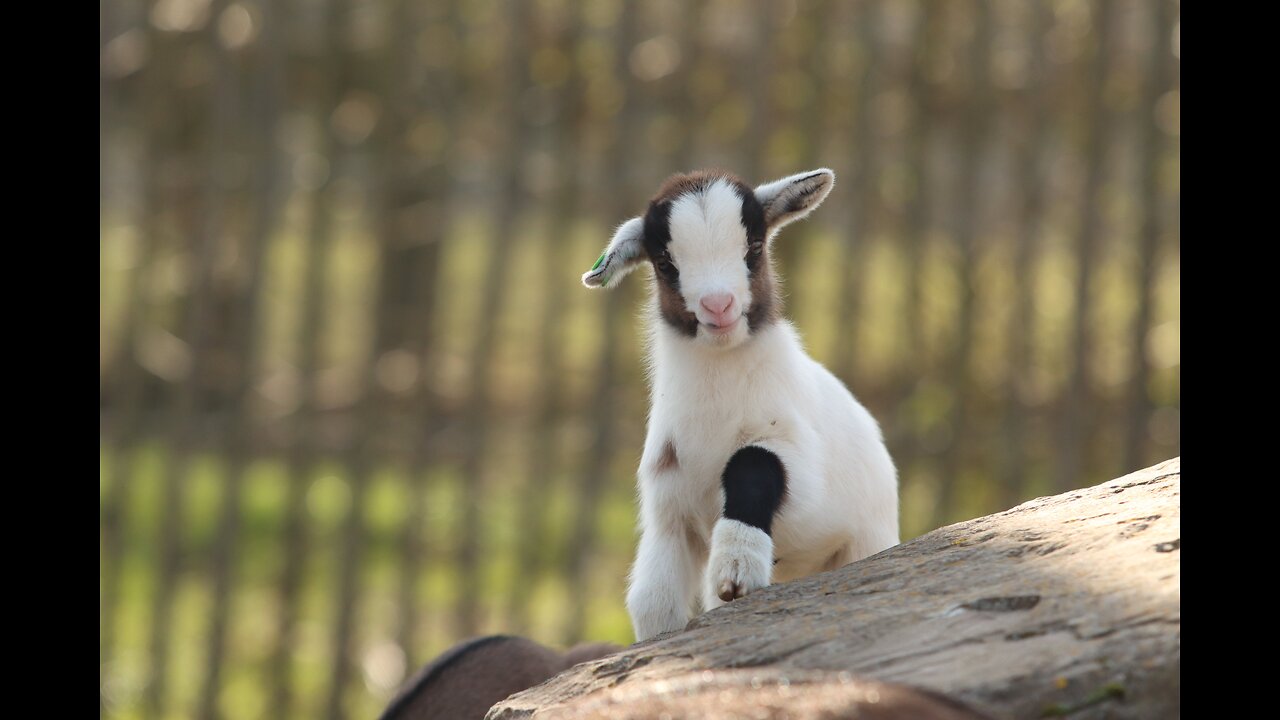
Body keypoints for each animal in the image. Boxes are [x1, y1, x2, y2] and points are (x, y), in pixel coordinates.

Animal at [583, 167, 901, 638]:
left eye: (753, 247)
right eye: (665, 263)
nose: (718, 305)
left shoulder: (795, 456)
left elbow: (752, 465)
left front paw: (736, 566)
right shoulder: (668, 506)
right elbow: (654, 601)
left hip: (866, 540)